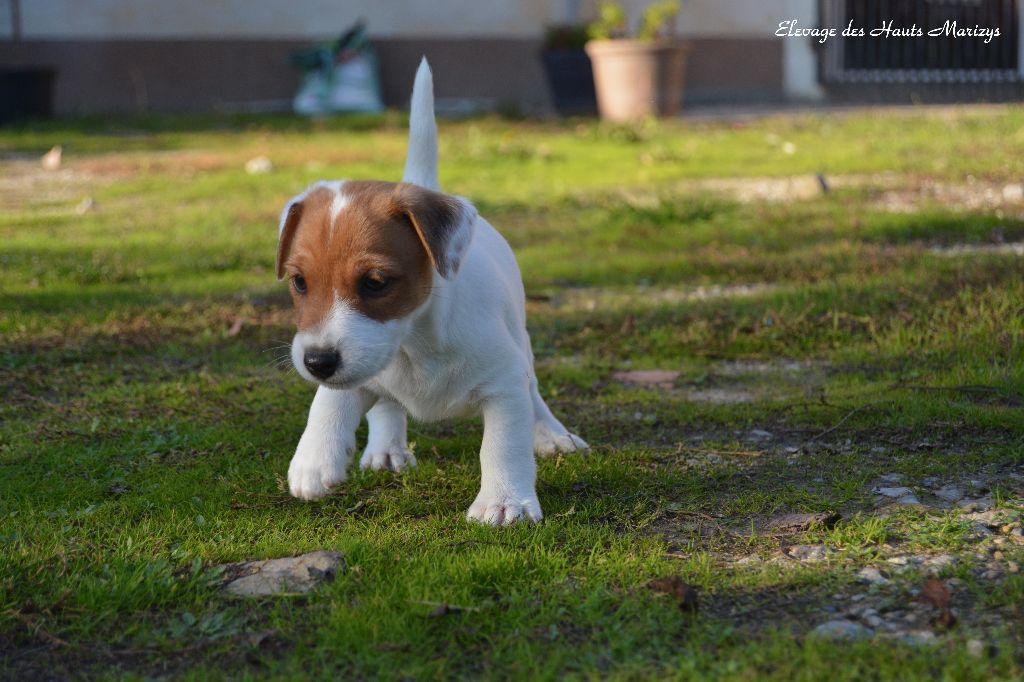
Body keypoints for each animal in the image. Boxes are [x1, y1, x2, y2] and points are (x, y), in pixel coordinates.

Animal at [275, 58, 587, 525]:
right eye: (299, 282)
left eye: (375, 283)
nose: (317, 362)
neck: (415, 345)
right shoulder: (357, 365)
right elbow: (329, 401)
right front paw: (314, 459)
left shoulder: (505, 383)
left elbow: (502, 445)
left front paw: (504, 501)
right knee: (387, 404)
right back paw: (386, 449)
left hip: (522, 344)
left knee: (534, 392)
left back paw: (552, 433)